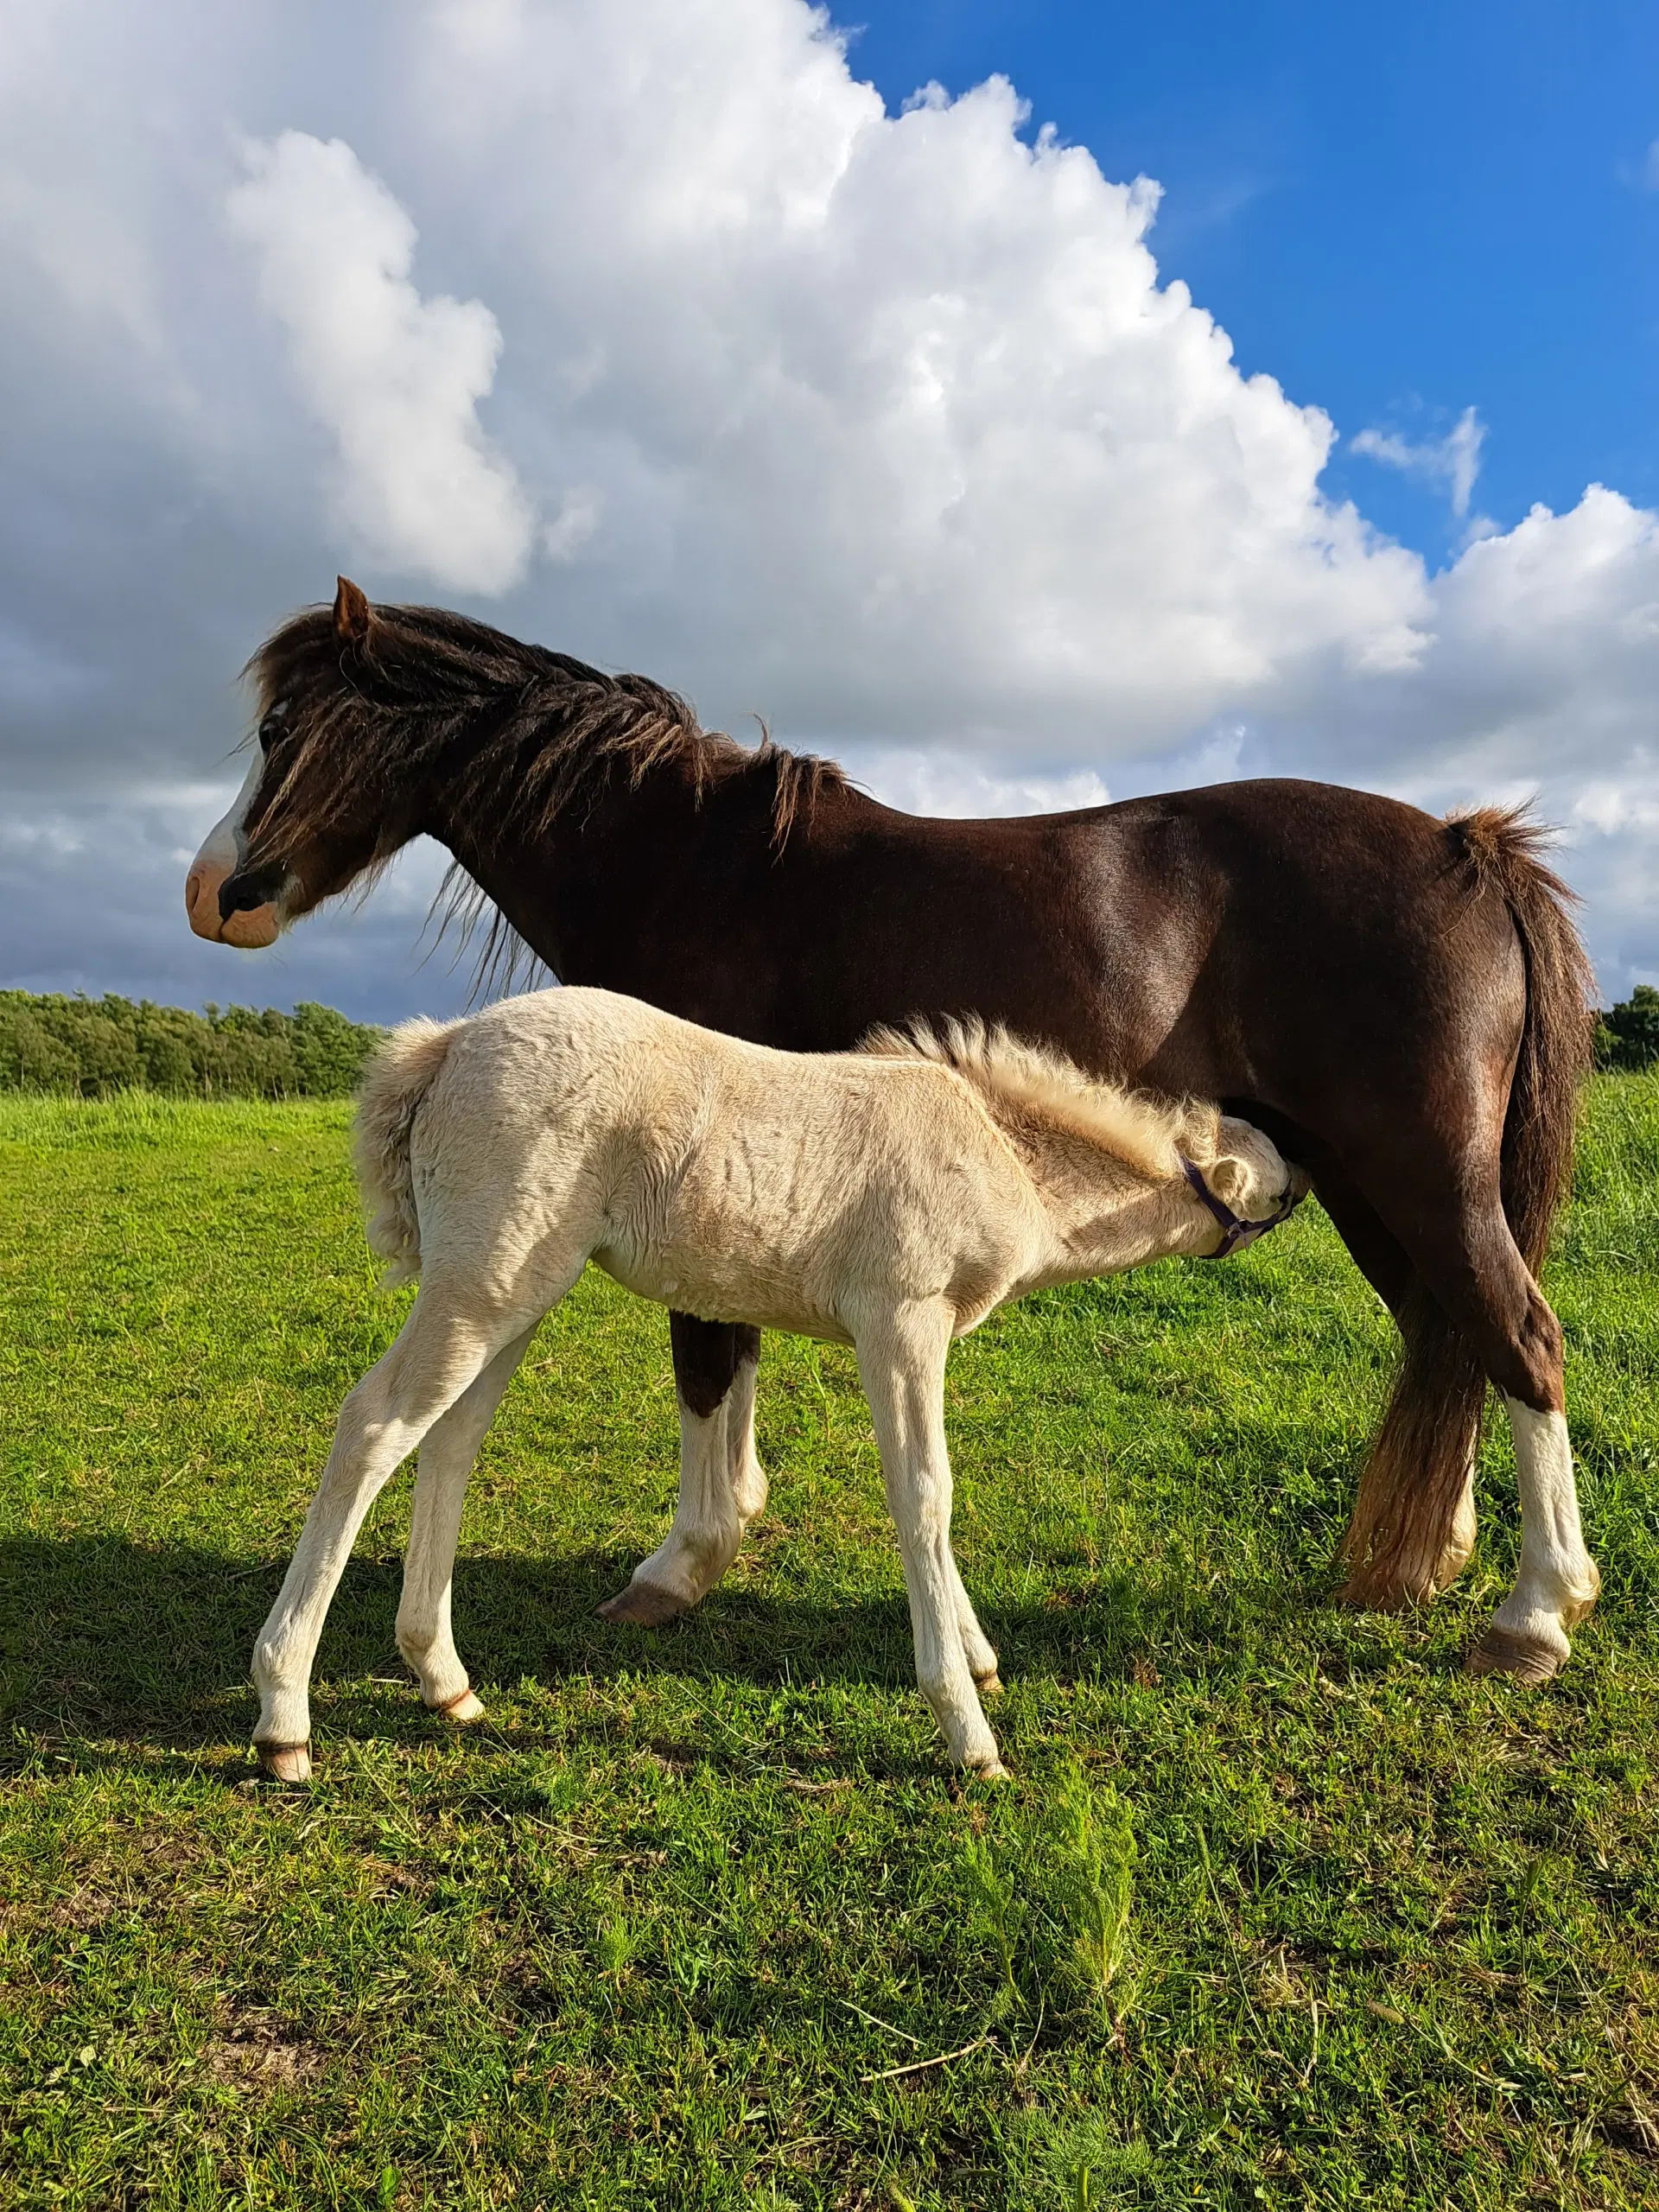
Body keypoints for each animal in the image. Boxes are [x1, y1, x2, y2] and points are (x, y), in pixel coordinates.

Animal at [188, 579, 1601, 1681]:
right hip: (1371, 1187)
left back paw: (1535, 1615)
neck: (684, 861)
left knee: (1518, 1337)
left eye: (277, 725)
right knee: (1447, 1338)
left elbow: (704, 1354)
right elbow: (726, 1350)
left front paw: (683, 1560)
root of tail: (1464, 846)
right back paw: (1431, 1558)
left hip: (1422, 1176)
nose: (215, 895)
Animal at [253, 995, 1309, 1787]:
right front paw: (967, 1731)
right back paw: (284, 1718)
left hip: (515, 1289)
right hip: (485, 1280)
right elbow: (925, 1496)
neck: (1000, 1154)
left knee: (451, 1436)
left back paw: (444, 1680)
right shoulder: (900, 1321)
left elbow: (933, 1501)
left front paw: (977, 1657)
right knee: (376, 1424)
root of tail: (444, 1047)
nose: (1303, 1173)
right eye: (1263, 1173)